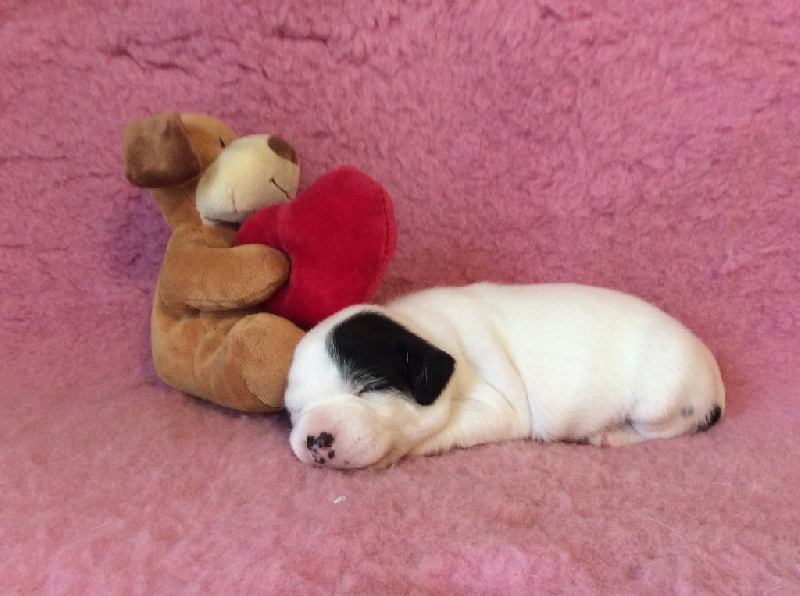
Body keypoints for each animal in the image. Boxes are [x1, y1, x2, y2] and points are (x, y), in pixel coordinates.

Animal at [284, 283, 725, 469]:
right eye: (295, 411)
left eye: (368, 388)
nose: (315, 440)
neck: (421, 327)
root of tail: (716, 382)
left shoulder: (496, 407)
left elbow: (443, 430)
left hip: (660, 400)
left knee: (667, 430)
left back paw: (612, 435)